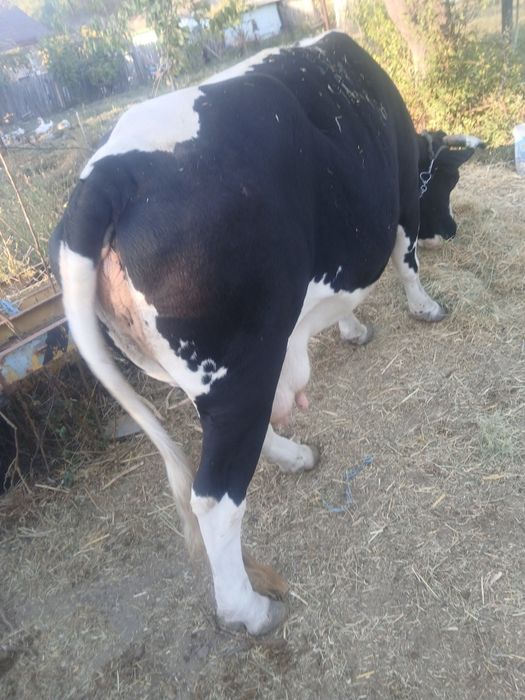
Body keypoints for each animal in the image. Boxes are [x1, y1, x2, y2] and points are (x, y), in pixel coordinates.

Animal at [50, 31, 482, 635]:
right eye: (449, 179)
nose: (453, 227)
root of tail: (107, 178)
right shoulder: (398, 200)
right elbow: (405, 260)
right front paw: (424, 308)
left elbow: (345, 300)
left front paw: (350, 327)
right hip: (241, 366)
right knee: (215, 497)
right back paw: (249, 610)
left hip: (210, 373)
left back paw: (295, 456)